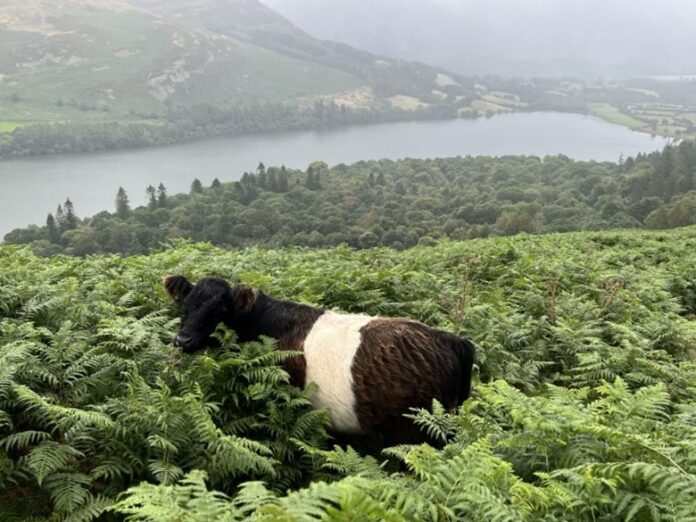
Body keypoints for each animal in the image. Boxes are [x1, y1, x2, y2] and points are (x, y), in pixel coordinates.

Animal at [164, 275, 475, 444]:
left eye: (219, 311)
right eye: (186, 305)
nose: (183, 340)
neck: (266, 324)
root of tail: (450, 339)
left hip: (414, 431)